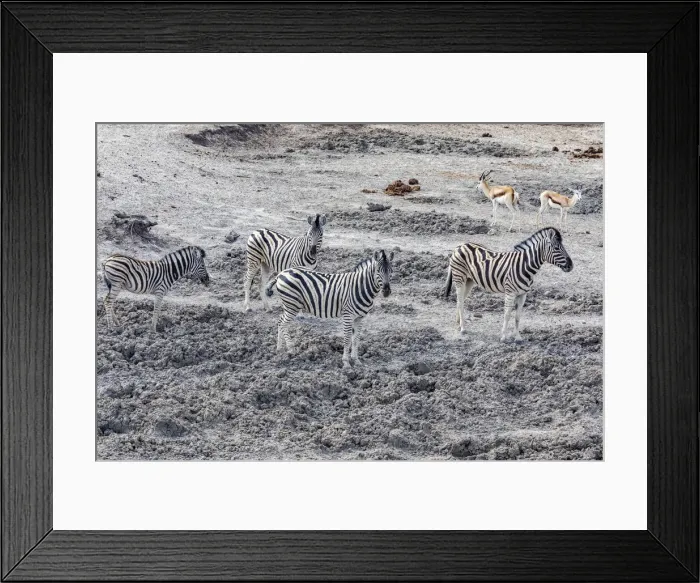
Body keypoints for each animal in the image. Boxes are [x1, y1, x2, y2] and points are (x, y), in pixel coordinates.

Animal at [265, 250, 394, 368]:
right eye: (377, 271)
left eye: (391, 271)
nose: (387, 291)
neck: (360, 287)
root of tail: (281, 274)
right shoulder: (348, 315)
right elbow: (347, 338)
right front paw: (346, 363)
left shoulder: (360, 317)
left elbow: (356, 339)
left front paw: (356, 360)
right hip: (292, 305)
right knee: (283, 324)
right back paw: (291, 349)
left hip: (288, 305)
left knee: (280, 321)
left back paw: (279, 348)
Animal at [444, 227, 573, 342]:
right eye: (556, 248)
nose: (571, 266)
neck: (524, 266)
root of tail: (460, 245)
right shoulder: (510, 292)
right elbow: (507, 314)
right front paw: (504, 337)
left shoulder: (523, 295)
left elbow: (517, 317)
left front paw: (518, 337)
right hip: (459, 278)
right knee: (460, 302)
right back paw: (463, 328)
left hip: (469, 280)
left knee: (460, 300)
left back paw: (458, 323)